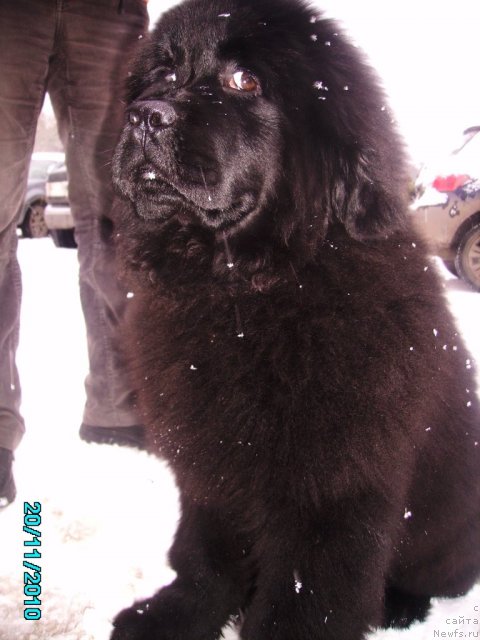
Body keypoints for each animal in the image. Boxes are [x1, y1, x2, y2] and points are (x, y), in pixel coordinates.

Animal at [109, 1, 480, 640]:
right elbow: (206, 557)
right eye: (163, 73)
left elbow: (307, 599)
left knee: (442, 575)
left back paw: (401, 606)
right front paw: (172, 617)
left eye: (244, 81)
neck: (241, 292)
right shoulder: (213, 465)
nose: (143, 116)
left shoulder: (331, 490)